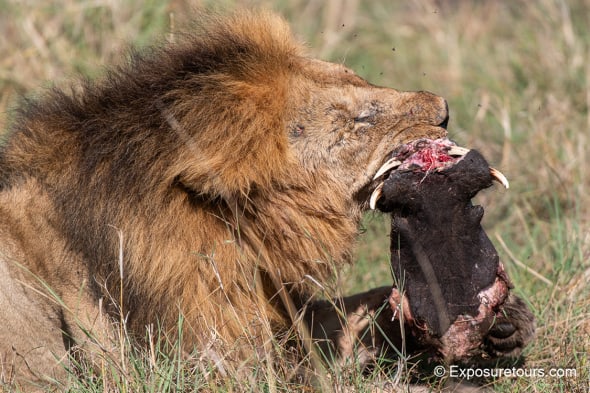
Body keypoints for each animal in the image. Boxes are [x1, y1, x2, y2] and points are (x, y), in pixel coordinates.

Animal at [0, 10, 536, 388]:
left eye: (358, 77)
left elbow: (349, 316)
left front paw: (507, 320)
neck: (245, 233)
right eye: (360, 120)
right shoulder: (212, 363)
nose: (444, 110)